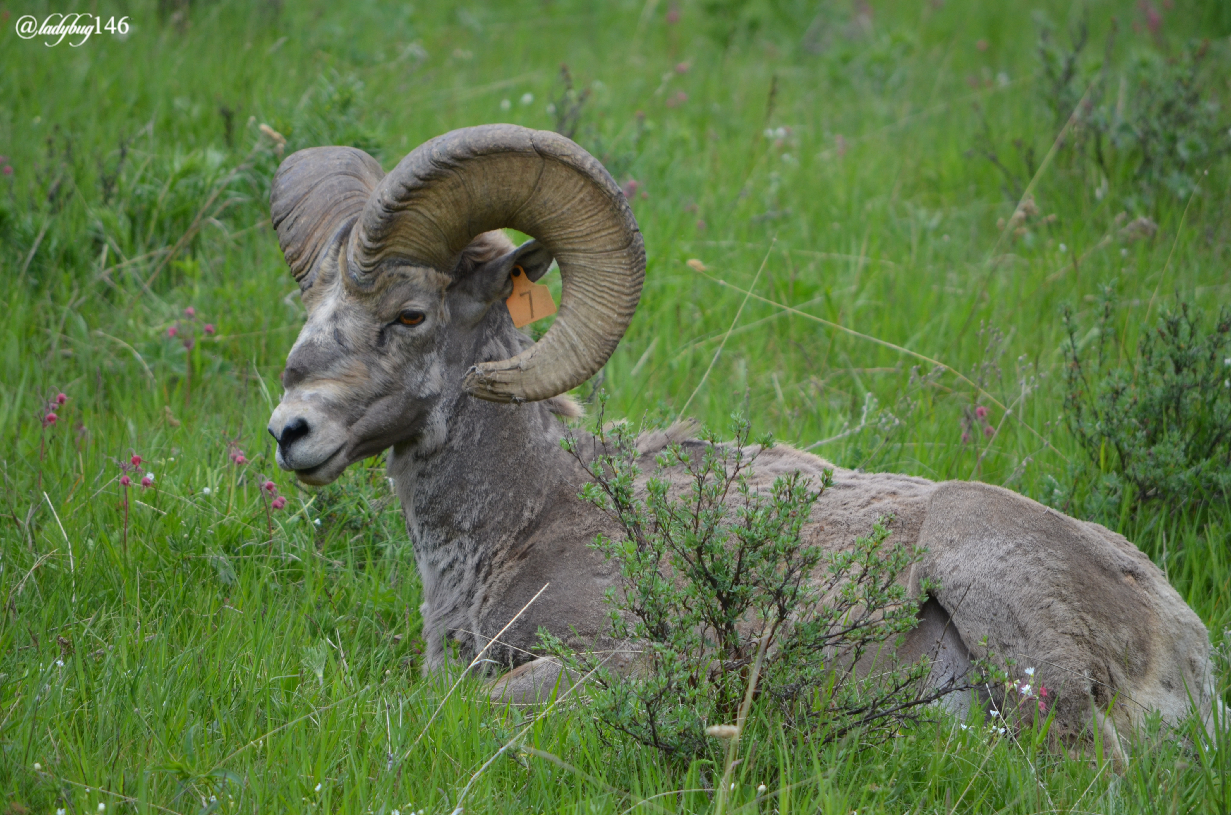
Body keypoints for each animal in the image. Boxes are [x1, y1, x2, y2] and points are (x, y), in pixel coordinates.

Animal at [264, 124, 1216, 743]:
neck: (522, 519)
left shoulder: (617, 663)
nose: (289, 431)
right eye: (309, 305)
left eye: (409, 314)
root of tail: (1183, 648)